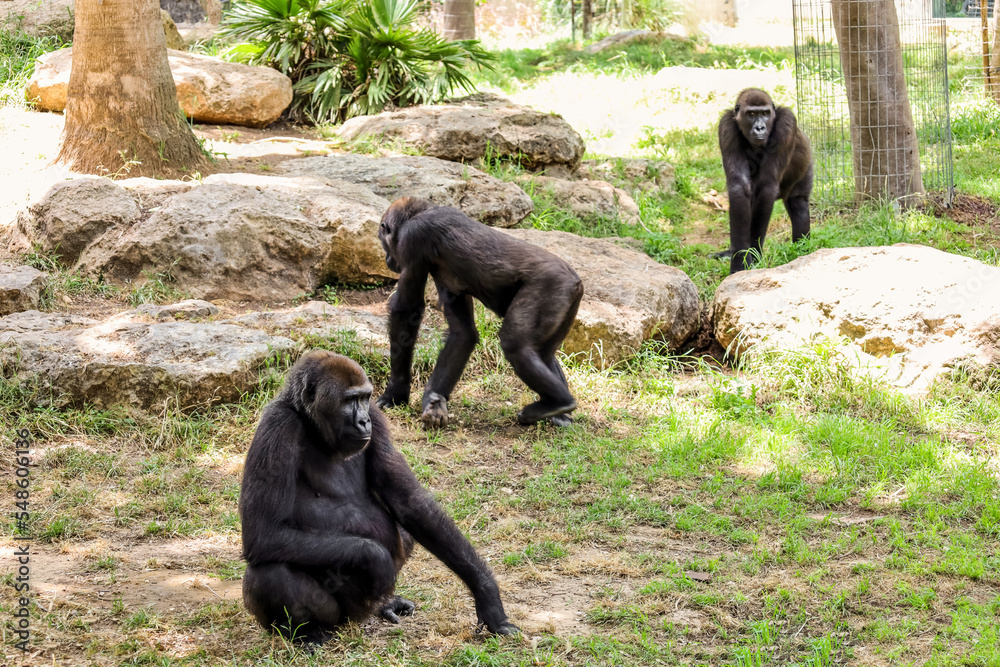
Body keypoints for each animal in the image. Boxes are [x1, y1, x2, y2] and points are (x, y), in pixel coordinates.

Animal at [239, 352, 520, 644]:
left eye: (364, 398)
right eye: (348, 400)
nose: (363, 421)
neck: (310, 422)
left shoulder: (376, 414)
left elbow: (409, 502)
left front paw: (487, 595)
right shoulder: (277, 426)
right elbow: (265, 533)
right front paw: (374, 558)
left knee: (404, 533)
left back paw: (386, 604)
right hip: (339, 617)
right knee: (270, 574)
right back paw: (305, 633)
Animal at [376, 197, 584, 428]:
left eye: (384, 242)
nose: (387, 259)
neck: (422, 211)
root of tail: (575, 281)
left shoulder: (413, 239)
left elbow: (406, 310)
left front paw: (396, 392)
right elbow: (462, 332)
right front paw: (433, 398)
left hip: (552, 285)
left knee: (515, 345)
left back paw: (559, 403)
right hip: (567, 302)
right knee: (543, 353)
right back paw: (559, 414)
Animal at [720, 87, 812, 272]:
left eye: (765, 113)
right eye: (751, 113)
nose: (760, 127)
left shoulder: (787, 122)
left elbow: (767, 186)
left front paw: (753, 254)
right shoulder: (726, 126)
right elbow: (740, 188)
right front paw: (740, 259)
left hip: (806, 166)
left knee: (798, 204)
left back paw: (802, 251)